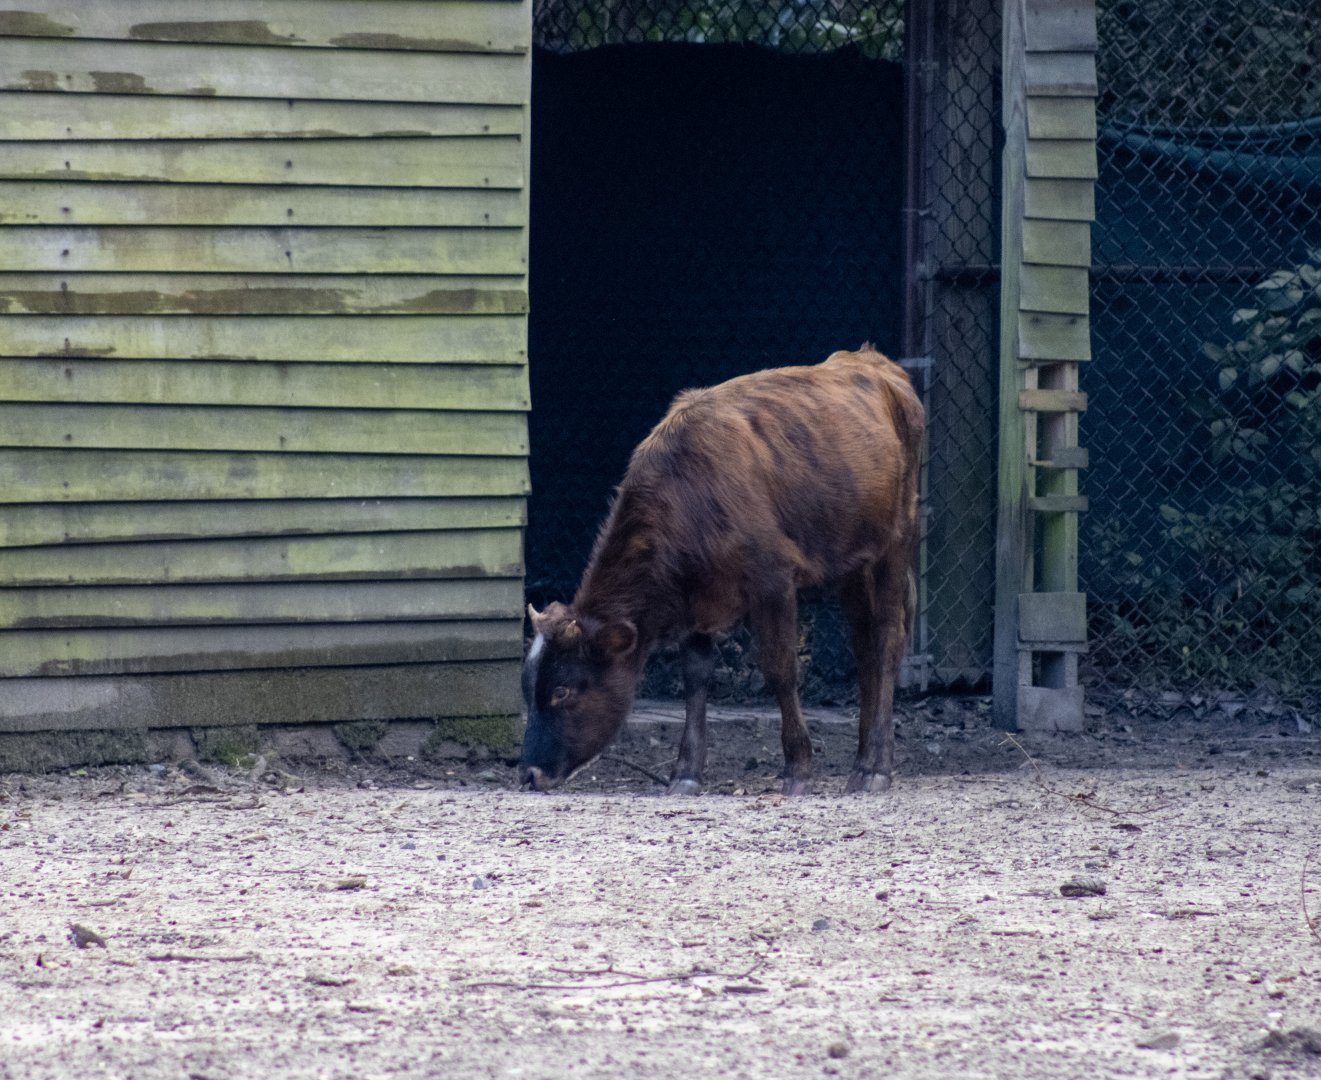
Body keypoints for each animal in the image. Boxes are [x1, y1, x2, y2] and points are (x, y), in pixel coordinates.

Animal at [520, 344, 924, 796]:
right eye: (528, 689)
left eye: (562, 690)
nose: (530, 773)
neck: (690, 496)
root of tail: (869, 359)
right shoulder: (695, 599)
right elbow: (696, 679)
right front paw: (685, 773)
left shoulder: (773, 582)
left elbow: (781, 670)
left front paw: (798, 768)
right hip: (852, 562)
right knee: (864, 645)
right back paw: (863, 758)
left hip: (895, 540)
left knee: (887, 638)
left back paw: (875, 768)